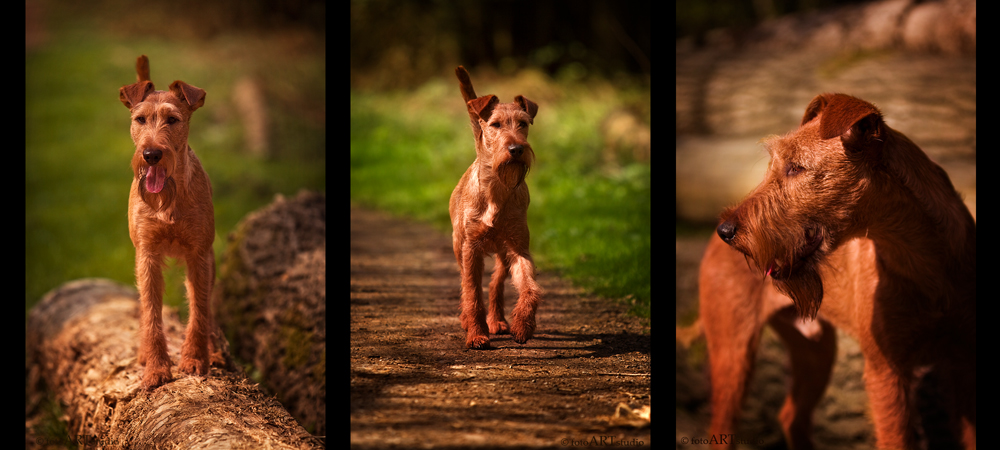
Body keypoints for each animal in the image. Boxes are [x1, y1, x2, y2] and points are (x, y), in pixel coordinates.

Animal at [119, 53, 217, 390]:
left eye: (172, 120)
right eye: (140, 120)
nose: (151, 154)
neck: (168, 200)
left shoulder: (199, 254)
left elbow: (199, 310)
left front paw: (195, 359)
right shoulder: (147, 255)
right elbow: (151, 314)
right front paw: (157, 368)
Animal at [452, 66, 544, 348]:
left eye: (522, 123)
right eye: (495, 125)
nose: (516, 149)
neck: (497, 189)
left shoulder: (518, 248)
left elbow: (530, 288)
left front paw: (523, 325)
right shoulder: (470, 249)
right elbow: (472, 294)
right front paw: (476, 334)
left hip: (503, 255)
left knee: (496, 284)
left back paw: (498, 320)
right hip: (458, 245)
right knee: (466, 285)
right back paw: (469, 321)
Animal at [700, 93, 972, 448]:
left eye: (796, 167)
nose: (727, 231)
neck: (921, 262)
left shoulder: (964, 364)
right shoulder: (887, 370)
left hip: (816, 354)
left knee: (792, 416)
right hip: (733, 355)